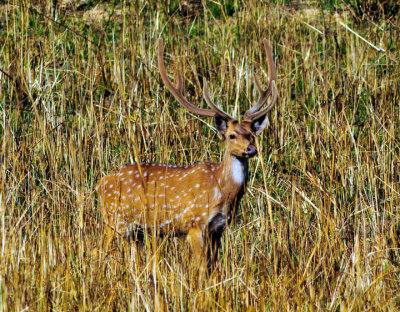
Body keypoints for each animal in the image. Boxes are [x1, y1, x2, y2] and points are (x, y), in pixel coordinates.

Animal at [97, 37, 278, 270]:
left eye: (252, 135)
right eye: (231, 135)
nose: (251, 149)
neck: (223, 191)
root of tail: (100, 184)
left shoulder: (218, 228)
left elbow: (212, 266)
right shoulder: (194, 222)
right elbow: (200, 268)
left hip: (134, 231)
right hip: (115, 219)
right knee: (98, 250)